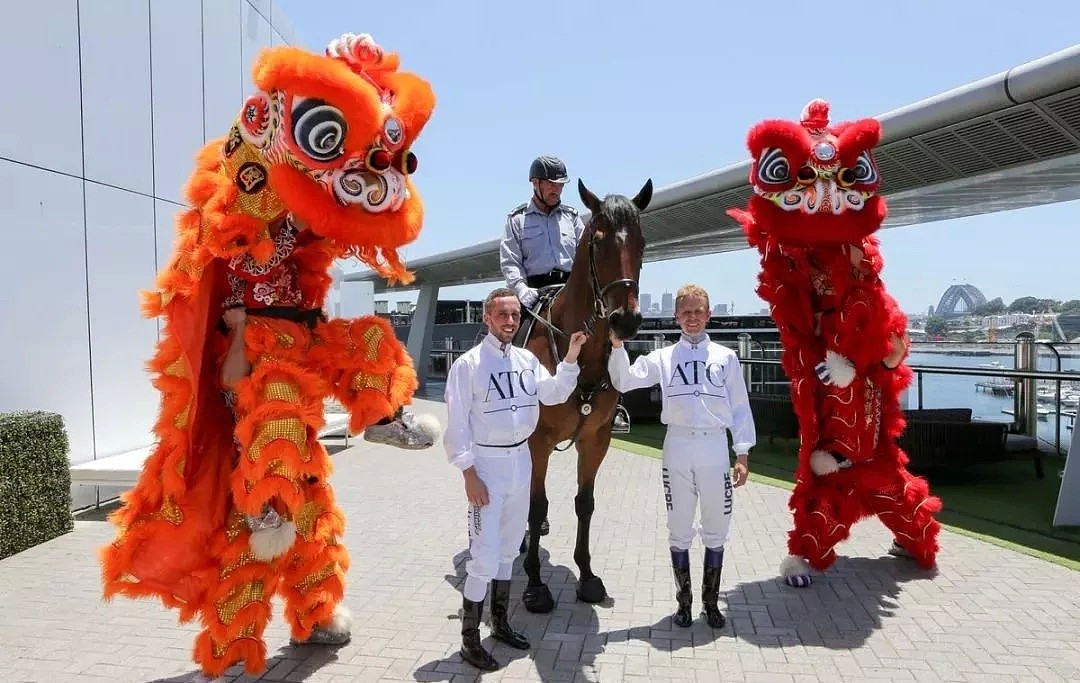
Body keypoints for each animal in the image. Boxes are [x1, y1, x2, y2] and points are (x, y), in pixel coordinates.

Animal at [518, 177, 652, 613]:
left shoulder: (596, 440)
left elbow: (584, 504)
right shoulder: (539, 442)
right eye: (597, 241)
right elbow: (537, 504)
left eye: (642, 242)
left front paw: (588, 575)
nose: (626, 320)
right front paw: (535, 585)